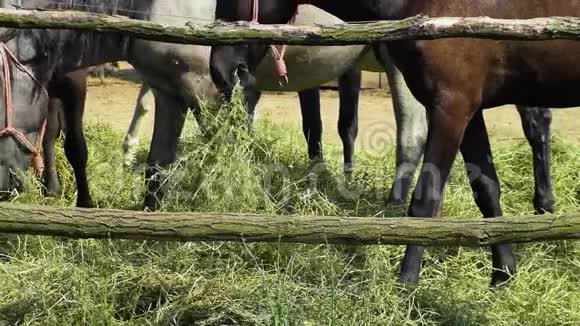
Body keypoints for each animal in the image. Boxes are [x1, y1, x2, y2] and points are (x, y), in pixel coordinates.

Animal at [211, 0, 580, 286]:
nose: (219, 69)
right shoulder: (470, 111)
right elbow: (486, 190)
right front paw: (503, 275)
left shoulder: (451, 106)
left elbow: (425, 199)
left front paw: (407, 284)